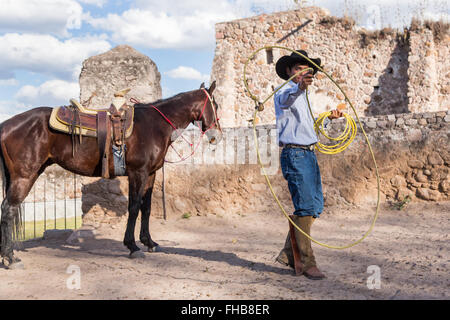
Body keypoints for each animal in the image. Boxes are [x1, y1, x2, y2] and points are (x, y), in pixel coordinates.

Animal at [0, 81, 220, 268]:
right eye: (216, 106)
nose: (216, 136)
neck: (154, 125)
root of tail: (5, 125)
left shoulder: (150, 175)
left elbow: (146, 208)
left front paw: (149, 242)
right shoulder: (138, 173)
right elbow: (134, 207)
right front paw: (132, 246)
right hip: (24, 176)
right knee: (8, 209)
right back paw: (10, 258)